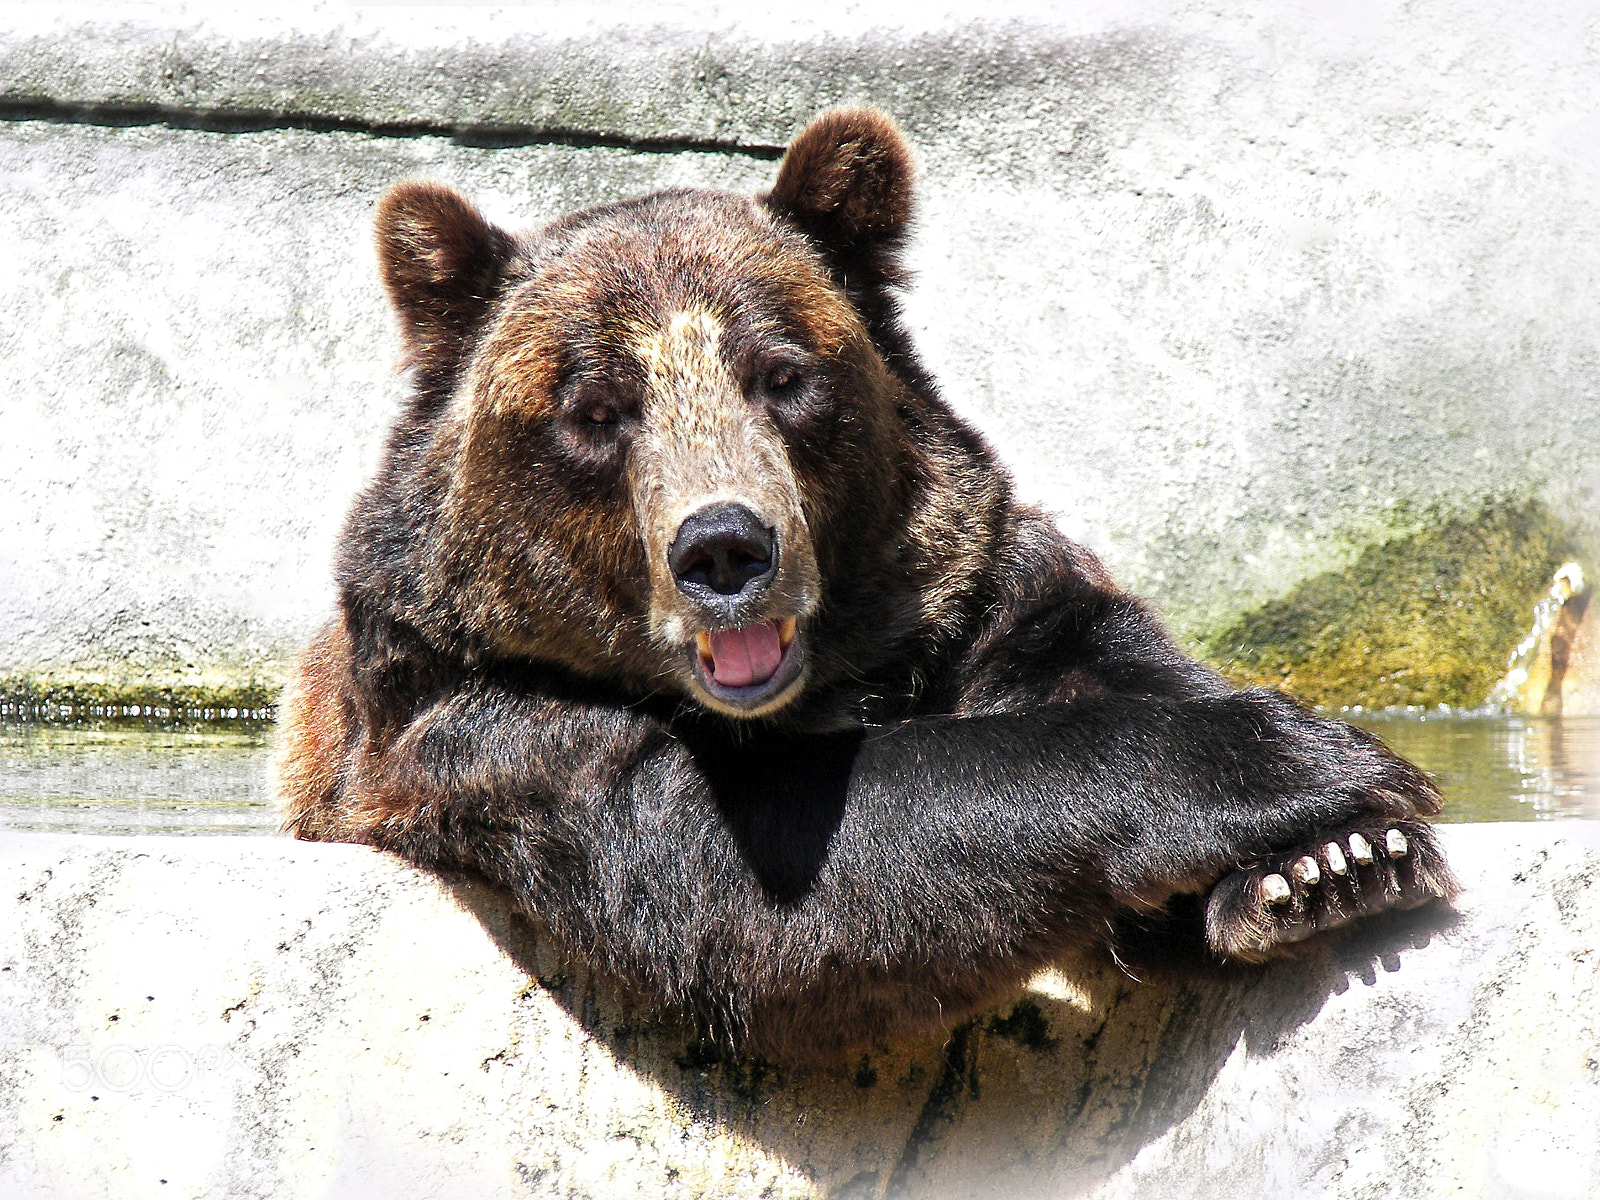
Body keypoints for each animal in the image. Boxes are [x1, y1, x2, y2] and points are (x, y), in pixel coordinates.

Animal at [277, 108, 1457, 1059]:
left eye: (782, 372)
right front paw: (1300, 763)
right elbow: (753, 876)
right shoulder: (489, 727)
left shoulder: (976, 595)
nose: (723, 550)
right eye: (596, 408)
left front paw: (1330, 863)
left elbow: (1097, 657)